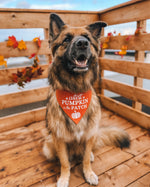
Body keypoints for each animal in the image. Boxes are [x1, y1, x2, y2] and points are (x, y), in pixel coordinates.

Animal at [43, 13, 130, 187]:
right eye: (66, 39)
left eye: (87, 38)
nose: (83, 43)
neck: (75, 91)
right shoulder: (59, 139)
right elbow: (64, 162)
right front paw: (64, 178)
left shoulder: (90, 135)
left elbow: (85, 161)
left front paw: (88, 173)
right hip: (48, 145)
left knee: (86, 154)